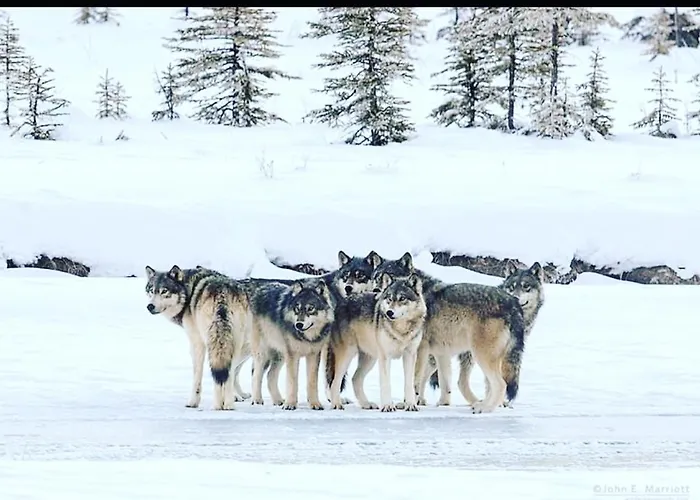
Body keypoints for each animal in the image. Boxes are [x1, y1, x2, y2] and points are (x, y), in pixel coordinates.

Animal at [144, 265, 252, 410]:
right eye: (151, 290)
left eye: (164, 291)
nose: (150, 306)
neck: (188, 291)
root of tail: (222, 295)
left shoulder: (196, 343)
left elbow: (197, 376)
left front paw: (192, 402)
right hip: (235, 343)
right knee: (229, 372)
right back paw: (229, 404)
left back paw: (217, 405)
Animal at [249, 278, 336, 410]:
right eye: (297, 308)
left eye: (310, 308)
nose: (299, 324)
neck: (306, 338)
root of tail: (261, 288)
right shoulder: (293, 355)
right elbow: (292, 381)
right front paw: (290, 404)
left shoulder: (313, 355)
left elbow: (312, 382)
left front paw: (315, 404)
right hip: (263, 353)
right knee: (256, 376)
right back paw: (257, 400)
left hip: (280, 355)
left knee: (270, 375)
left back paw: (278, 400)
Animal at [325, 272, 427, 412]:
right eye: (389, 298)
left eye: (402, 298)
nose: (389, 312)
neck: (401, 330)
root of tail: (340, 304)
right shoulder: (385, 356)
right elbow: (386, 383)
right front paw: (387, 406)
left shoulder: (410, 355)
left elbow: (409, 384)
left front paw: (411, 405)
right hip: (347, 355)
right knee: (335, 381)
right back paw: (336, 404)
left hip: (370, 359)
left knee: (355, 379)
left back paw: (366, 404)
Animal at [370, 252, 526, 413]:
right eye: (376, 278)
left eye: (390, 275)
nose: (376, 291)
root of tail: (514, 303)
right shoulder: (441, 352)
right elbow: (444, 383)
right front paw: (442, 403)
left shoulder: (420, 350)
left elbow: (415, 380)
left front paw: (408, 403)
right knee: (493, 385)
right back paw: (481, 404)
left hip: (481, 355)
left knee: (500, 385)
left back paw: (485, 408)